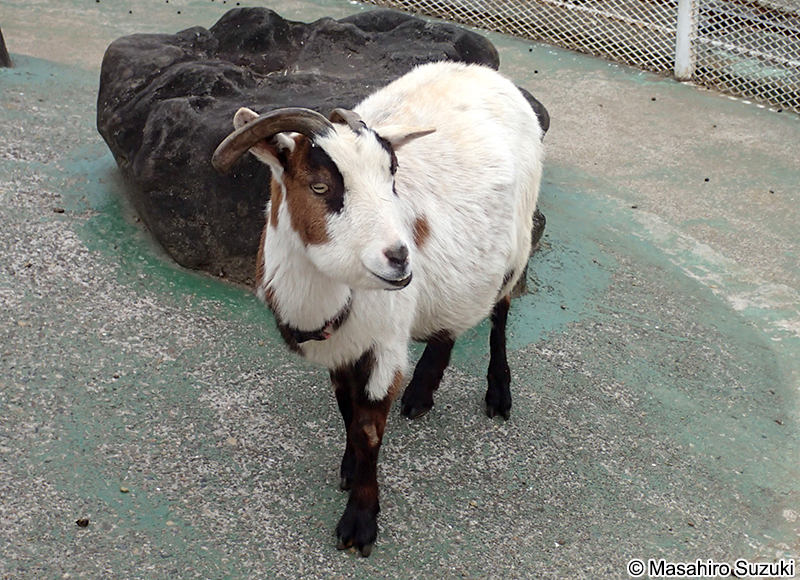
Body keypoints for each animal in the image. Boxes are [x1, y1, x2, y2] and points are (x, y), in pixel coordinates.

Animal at [212, 60, 546, 556]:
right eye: (319, 185)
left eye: (391, 181)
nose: (400, 257)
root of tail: (486, 72)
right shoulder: (345, 347)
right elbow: (347, 410)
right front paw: (349, 470)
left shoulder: (385, 343)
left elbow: (369, 429)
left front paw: (360, 522)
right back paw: (422, 392)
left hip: (517, 247)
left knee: (499, 314)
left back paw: (498, 394)